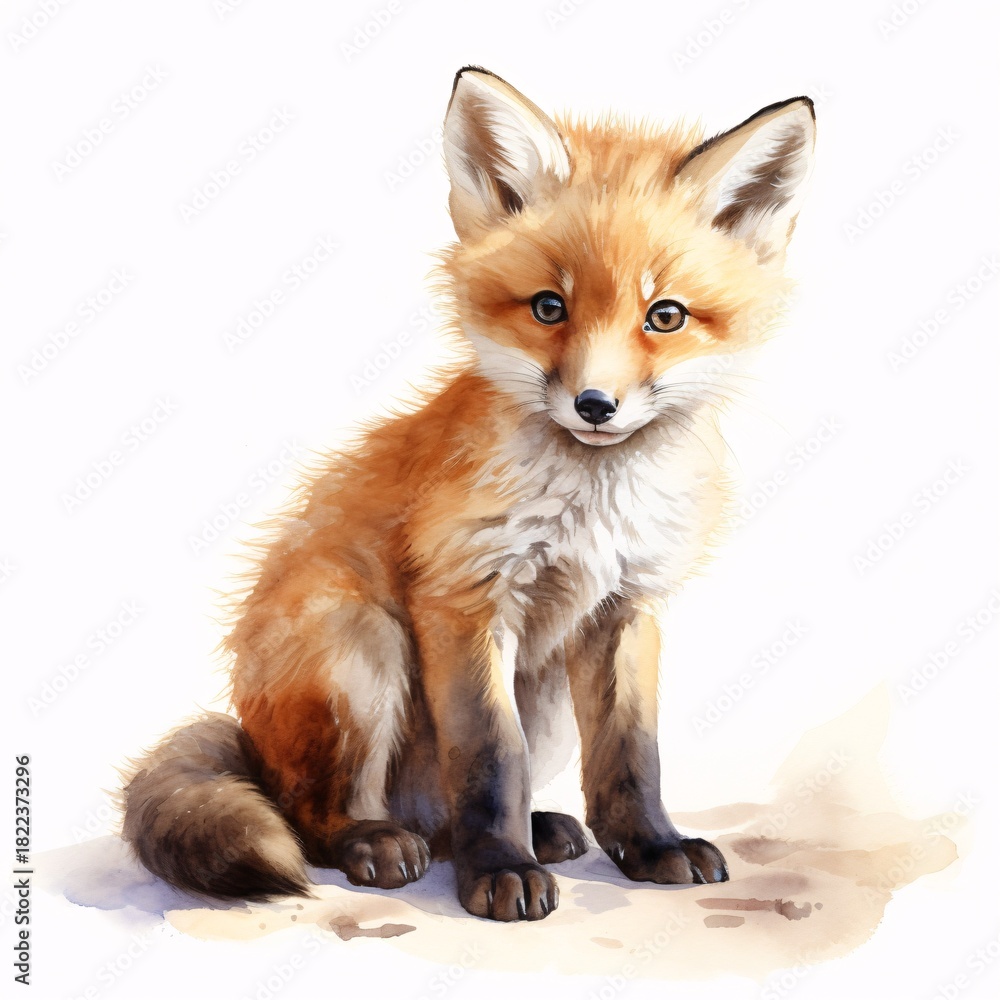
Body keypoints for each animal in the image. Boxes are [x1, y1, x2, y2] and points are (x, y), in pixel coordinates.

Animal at [121, 66, 815, 922]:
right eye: (549, 307)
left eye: (666, 316)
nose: (595, 405)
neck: (591, 507)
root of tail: (251, 740)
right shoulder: (466, 598)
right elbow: (489, 757)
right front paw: (500, 873)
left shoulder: (625, 610)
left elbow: (630, 752)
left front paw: (650, 847)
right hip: (362, 647)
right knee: (310, 816)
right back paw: (377, 842)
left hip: (540, 691)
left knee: (445, 812)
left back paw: (532, 830)